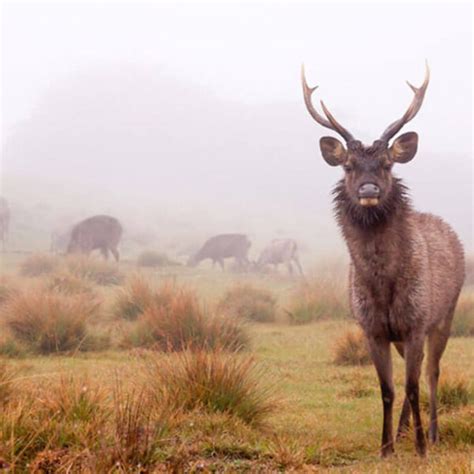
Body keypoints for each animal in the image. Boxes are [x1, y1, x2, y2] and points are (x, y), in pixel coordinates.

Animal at [302, 65, 464, 458]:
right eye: (348, 166)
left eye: (388, 164)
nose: (369, 190)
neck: (383, 287)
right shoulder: (372, 328)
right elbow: (388, 389)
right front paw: (386, 446)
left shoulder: (417, 321)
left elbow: (413, 386)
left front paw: (420, 448)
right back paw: (404, 430)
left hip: (446, 315)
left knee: (432, 373)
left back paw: (432, 433)